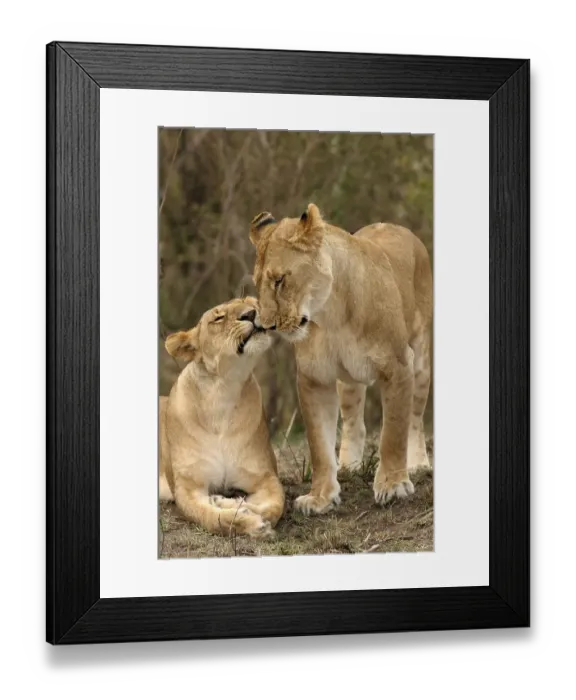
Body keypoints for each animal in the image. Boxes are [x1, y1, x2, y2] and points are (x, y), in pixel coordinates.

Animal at [159, 297, 285, 538]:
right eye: (218, 317)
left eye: (253, 302)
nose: (251, 313)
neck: (223, 393)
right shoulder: (188, 486)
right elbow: (212, 518)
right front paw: (248, 521)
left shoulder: (264, 476)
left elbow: (276, 506)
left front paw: (240, 507)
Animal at [249, 204, 433, 515]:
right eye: (258, 284)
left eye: (279, 280)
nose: (267, 326)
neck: (330, 314)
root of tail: (395, 225)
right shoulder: (314, 379)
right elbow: (319, 445)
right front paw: (321, 497)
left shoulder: (398, 367)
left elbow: (393, 432)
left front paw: (393, 485)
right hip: (347, 382)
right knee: (353, 421)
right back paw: (350, 466)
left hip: (420, 360)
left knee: (416, 419)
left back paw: (419, 464)